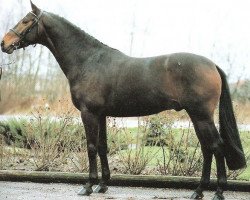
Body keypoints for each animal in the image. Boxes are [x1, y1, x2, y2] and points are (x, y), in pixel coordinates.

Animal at [0, 1, 246, 200]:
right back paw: (198, 191)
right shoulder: (100, 115)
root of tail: (212, 64)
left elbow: (90, 147)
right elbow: (102, 147)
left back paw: (218, 191)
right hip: (196, 116)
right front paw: (102, 185)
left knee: (216, 147)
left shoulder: (88, 113)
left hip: (201, 115)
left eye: (25, 21)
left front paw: (87, 186)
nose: (4, 43)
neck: (88, 60)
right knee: (207, 149)